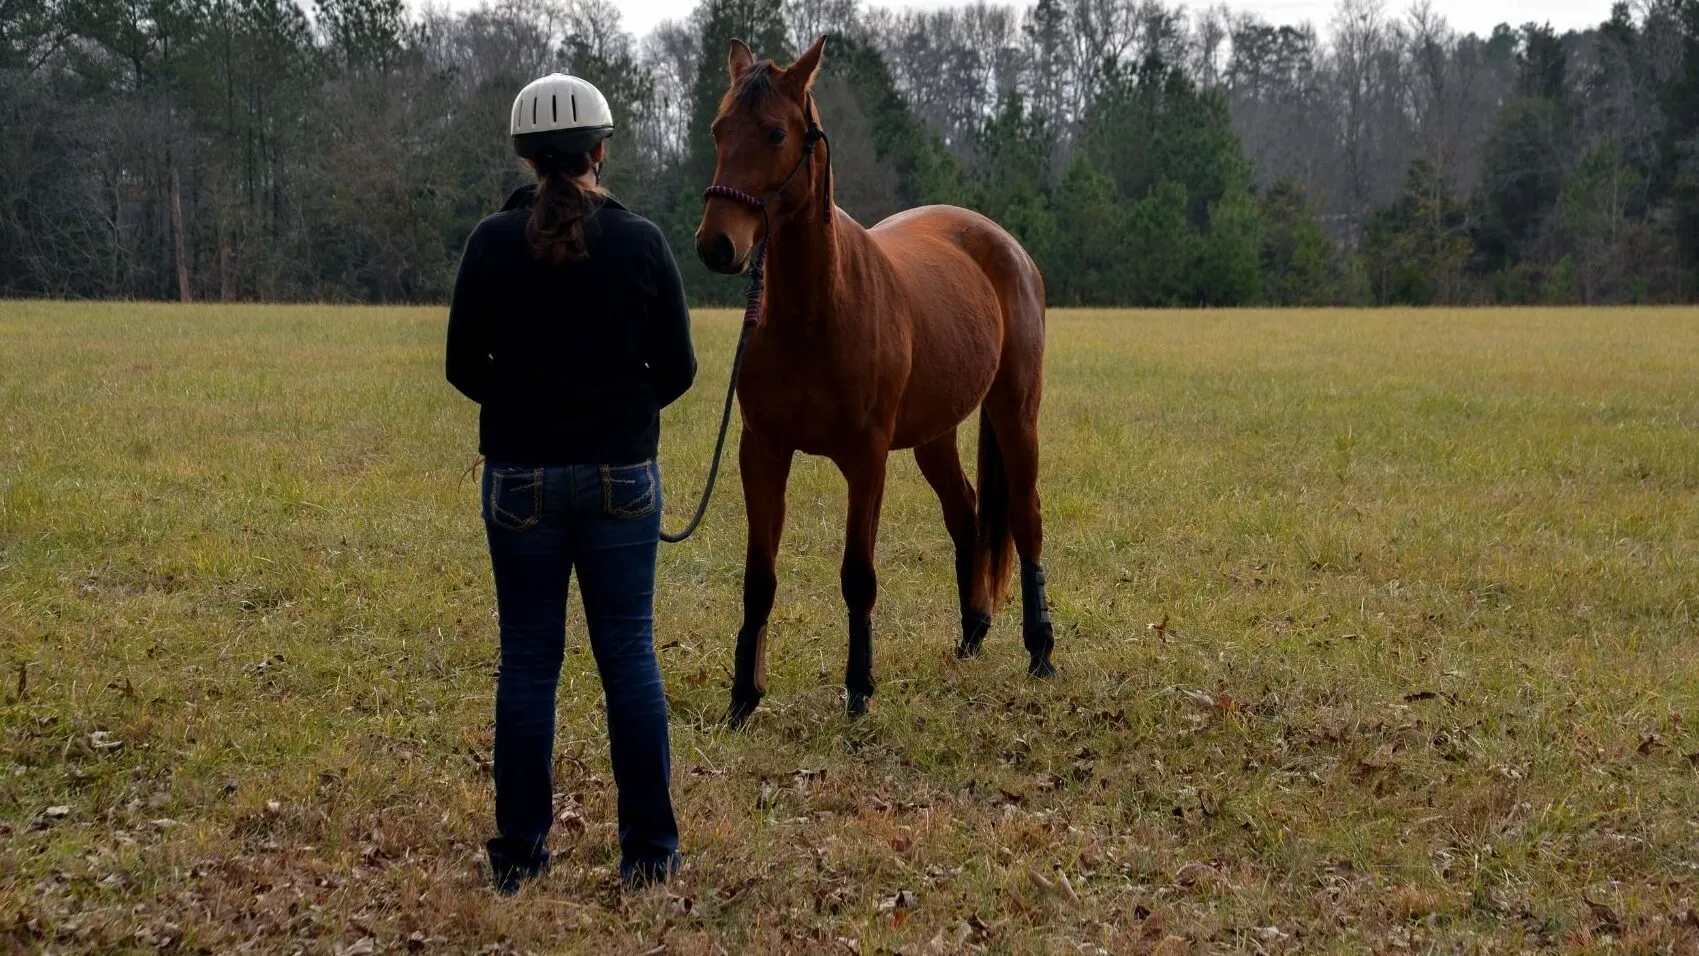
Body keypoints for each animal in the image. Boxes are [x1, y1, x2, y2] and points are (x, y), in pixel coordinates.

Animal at [693, 35, 1054, 724]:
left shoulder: (867, 458)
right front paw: (744, 696)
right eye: (719, 129)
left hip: (1014, 414)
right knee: (966, 513)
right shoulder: (762, 451)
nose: (716, 246)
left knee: (1025, 521)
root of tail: (1005, 244)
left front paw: (859, 687)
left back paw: (1041, 650)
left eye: (775, 133)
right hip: (935, 435)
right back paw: (972, 632)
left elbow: (858, 574)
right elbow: (759, 576)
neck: (814, 312)